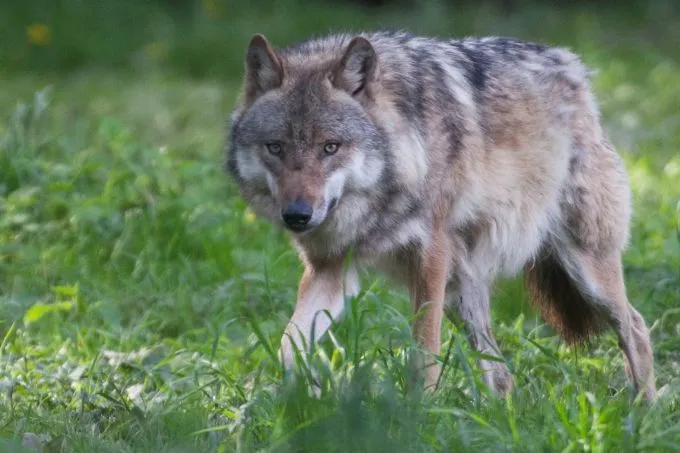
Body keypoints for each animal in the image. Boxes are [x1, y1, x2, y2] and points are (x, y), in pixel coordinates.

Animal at [225, 30, 656, 401]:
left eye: (330, 147)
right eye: (275, 147)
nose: (297, 216)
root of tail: (571, 65)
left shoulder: (430, 256)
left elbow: (424, 349)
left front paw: (422, 412)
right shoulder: (330, 270)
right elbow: (287, 346)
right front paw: (296, 398)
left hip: (585, 268)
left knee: (635, 327)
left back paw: (643, 414)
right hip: (462, 293)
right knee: (501, 372)